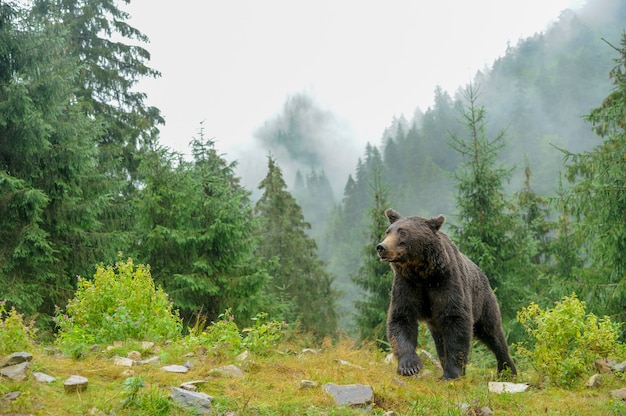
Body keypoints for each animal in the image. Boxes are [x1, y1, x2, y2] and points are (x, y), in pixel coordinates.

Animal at [376, 210, 512, 378]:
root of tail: (483, 274)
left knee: (493, 334)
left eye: (403, 232)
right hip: (435, 323)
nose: (381, 247)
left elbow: (456, 321)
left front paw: (451, 373)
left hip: (483, 303)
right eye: (388, 231)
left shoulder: (446, 283)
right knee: (440, 342)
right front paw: (409, 366)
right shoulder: (407, 286)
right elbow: (401, 319)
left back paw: (507, 369)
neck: (422, 272)